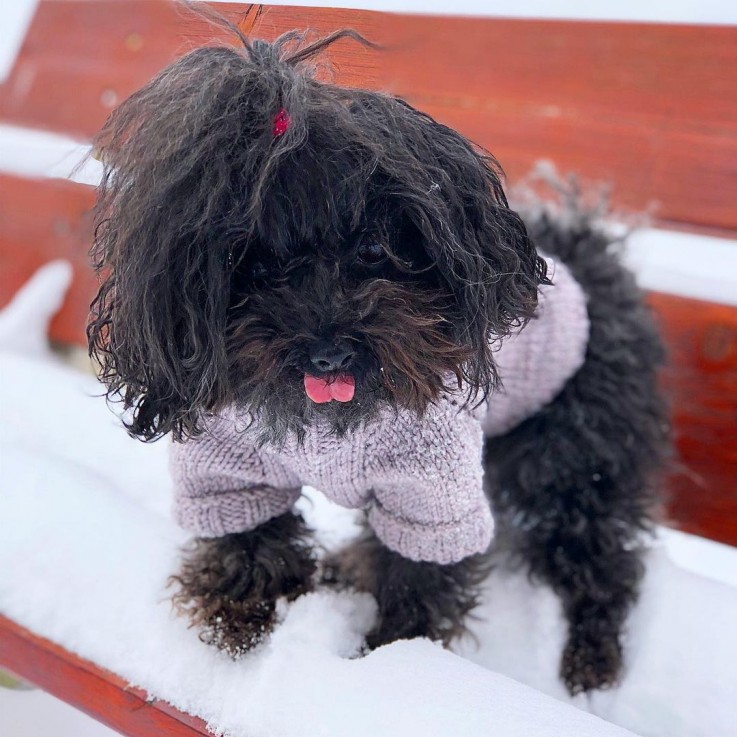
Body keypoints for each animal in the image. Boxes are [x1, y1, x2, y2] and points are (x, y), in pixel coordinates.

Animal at [86, 20, 668, 692]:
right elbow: (247, 538)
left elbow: (419, 576)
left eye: (371, 249)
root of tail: (591, 259)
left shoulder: (430, 487)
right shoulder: (230, 467)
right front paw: (239, 621)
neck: (325, 418)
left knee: (600, 555)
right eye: (253, 265)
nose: (328, 351)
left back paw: (591, 660)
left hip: (569, 451)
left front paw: (393, 657)